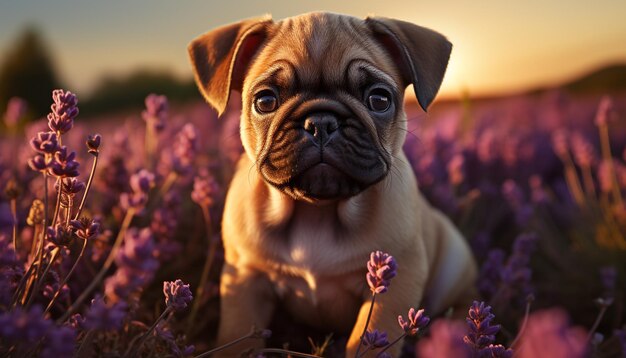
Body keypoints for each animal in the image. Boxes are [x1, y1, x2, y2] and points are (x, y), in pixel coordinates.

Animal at [188, 12, 476, 356]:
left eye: (379, 99)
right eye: (265, 100)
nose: (321, 122)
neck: (318, 211)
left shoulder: (395, 285)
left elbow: (369, 338)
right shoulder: (246, 279)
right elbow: (238, 337)